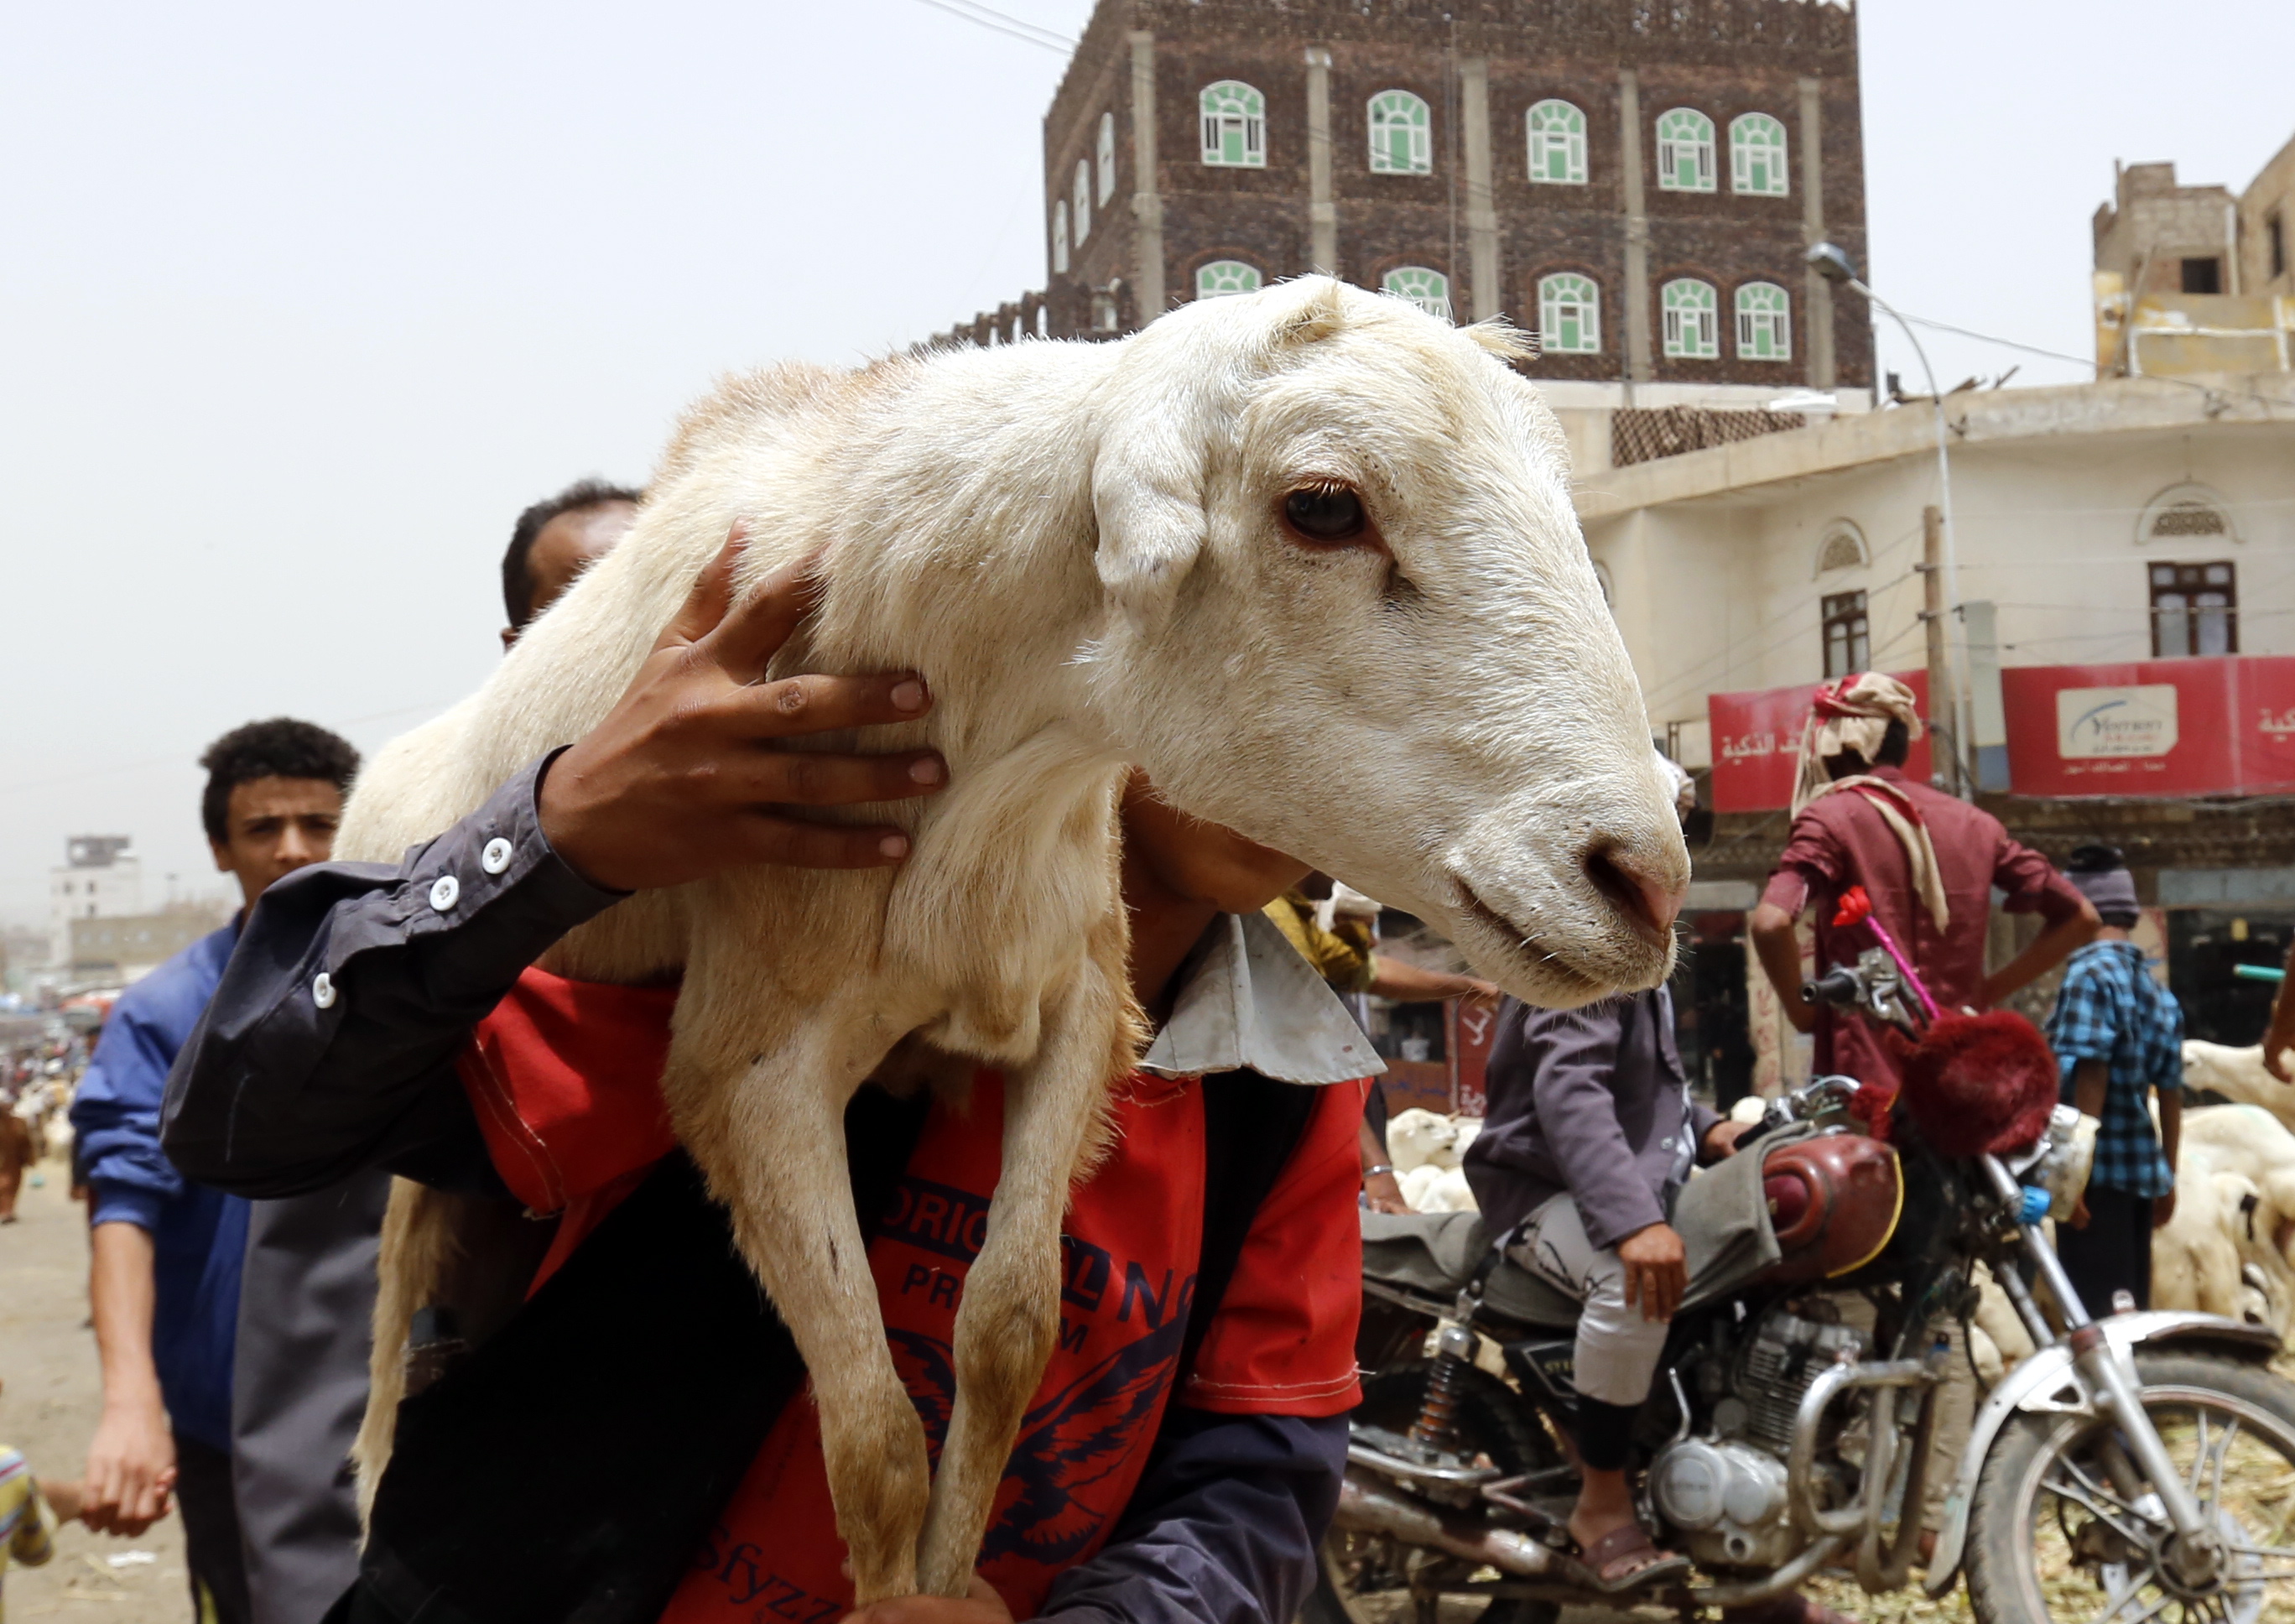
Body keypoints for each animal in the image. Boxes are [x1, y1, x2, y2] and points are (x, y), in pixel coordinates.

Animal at [339, 278, 1679, 1596]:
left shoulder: (1080, 1000)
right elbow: (873, 1439)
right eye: (1322, 506)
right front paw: (897, 1598)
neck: (994, 764)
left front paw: (951, 1574)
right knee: (388, 1365)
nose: (1646, 884)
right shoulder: (749, 1065)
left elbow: (1008, 1332)